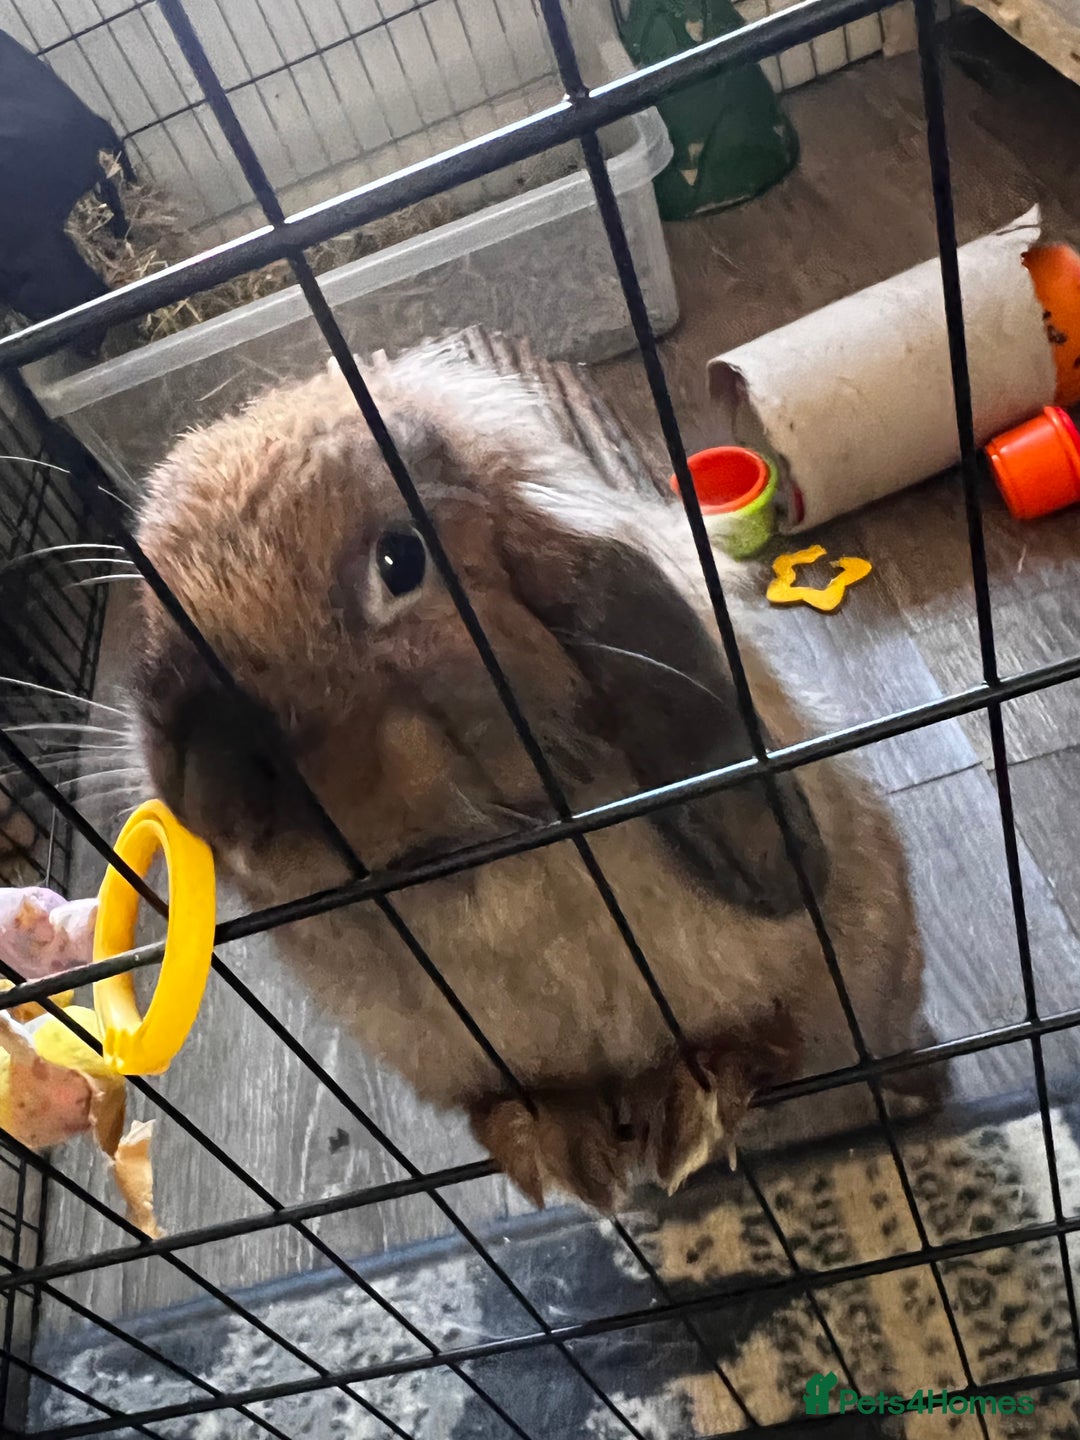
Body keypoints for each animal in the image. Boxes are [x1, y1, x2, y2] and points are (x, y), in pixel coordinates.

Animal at [128, 339, 936, 1211]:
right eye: (150, 608)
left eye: (400, 562)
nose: (220, 797)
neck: (479, 858)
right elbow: (516, 1099)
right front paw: (554, 1142)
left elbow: (767, 1036)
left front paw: (693, 1103)